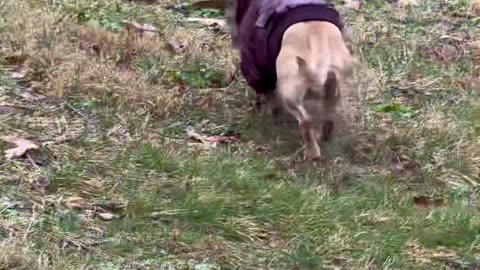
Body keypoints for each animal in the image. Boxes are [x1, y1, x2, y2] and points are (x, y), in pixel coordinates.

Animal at [274, 22, 352, 161]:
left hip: (290, 96)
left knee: (305, 123)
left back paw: (312, 153)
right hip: (334, 90)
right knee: (328, 116)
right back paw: (325, 136)